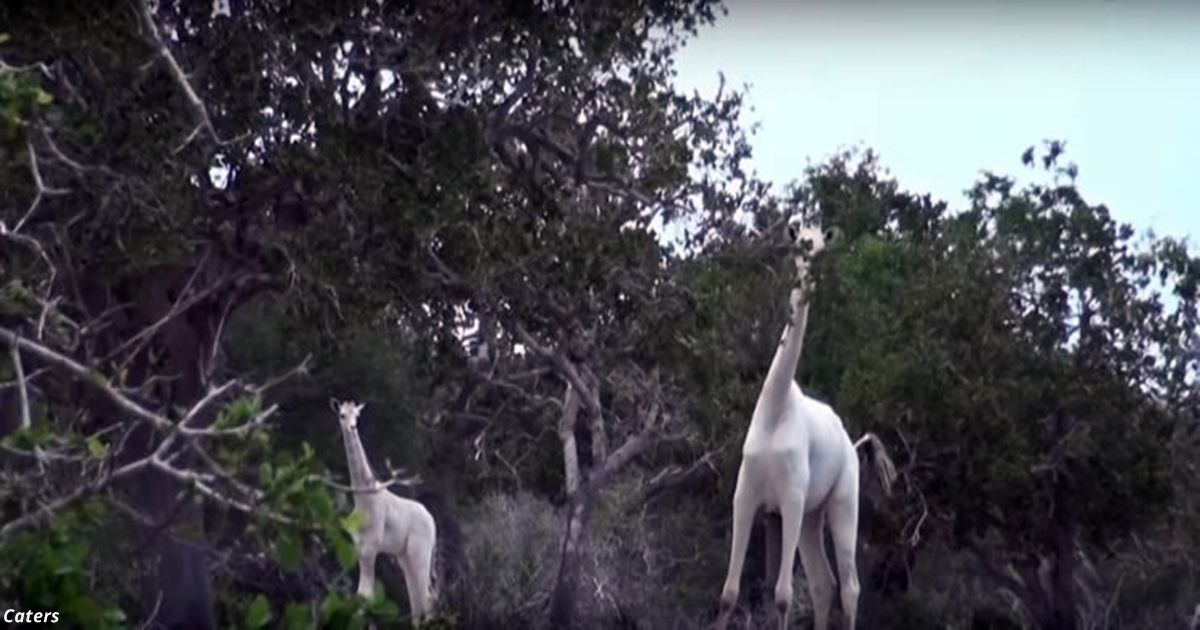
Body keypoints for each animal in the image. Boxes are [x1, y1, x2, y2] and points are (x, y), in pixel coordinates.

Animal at [331, 398, 439, 624]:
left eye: (357, 416)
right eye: (342, 415)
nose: (352, 427)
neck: (364, 499)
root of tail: (432, 521)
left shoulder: (371, 547)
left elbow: (367, 596)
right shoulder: (359, 548)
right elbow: (360, 596)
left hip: (421, 551)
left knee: (427, 598)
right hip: (405, 556)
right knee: (416, 599)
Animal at [715, 217, 897, 628]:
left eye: (822, 244)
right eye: (801, 242)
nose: (811, 264)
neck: (776, 408)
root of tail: (852, 444)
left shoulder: (791, 498)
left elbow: (782, 596)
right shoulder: (747, 496)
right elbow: (729, 593)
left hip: (842, 503)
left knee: (849, 587)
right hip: (813, 518)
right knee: (823, 584)